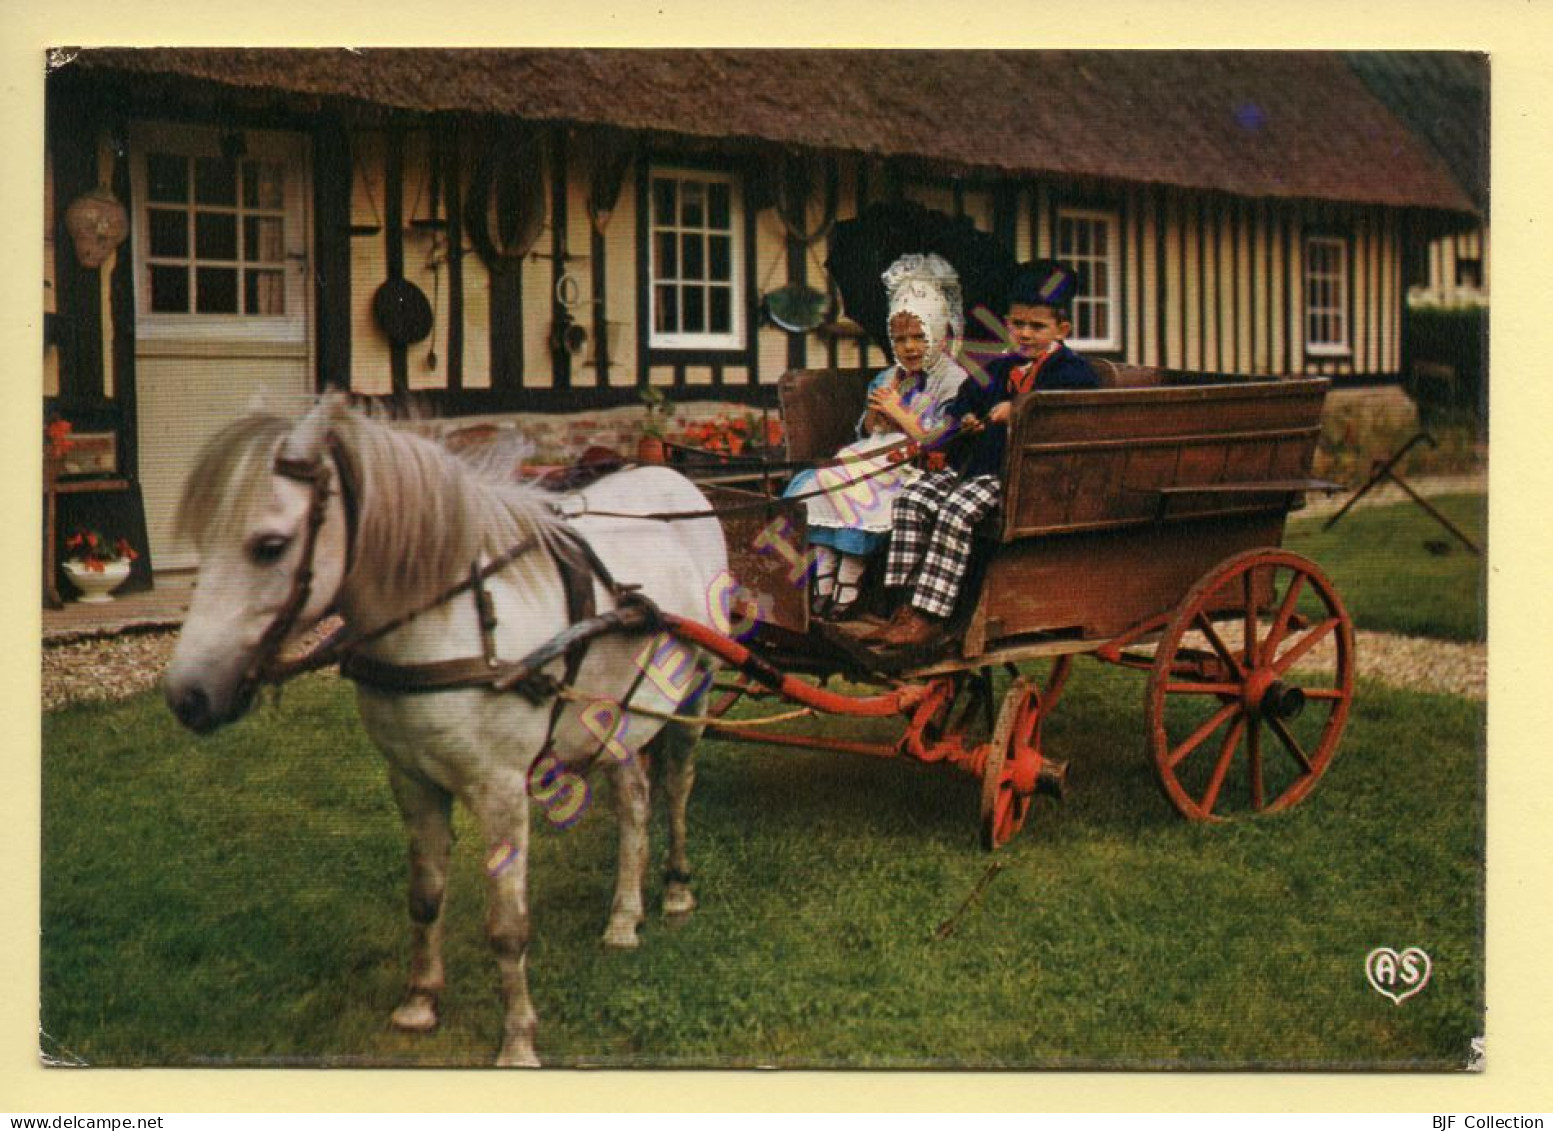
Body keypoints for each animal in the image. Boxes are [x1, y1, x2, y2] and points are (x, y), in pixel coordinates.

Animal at [160, 393, 729, 1062]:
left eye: (271, 546)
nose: (187, 695)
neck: (453, 621)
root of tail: (677, 482)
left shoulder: (501, 792)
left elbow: (507, 926)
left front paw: (518, 1041)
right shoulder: (412, 780)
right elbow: (426, 896)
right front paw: (420, 1002)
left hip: (695, 694)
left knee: (677, 786)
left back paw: (676, 888)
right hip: (615, 720)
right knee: (635, 803)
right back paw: (623, 916)